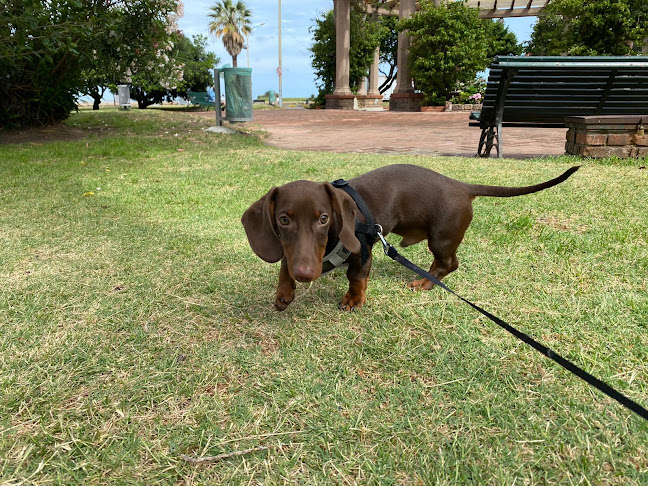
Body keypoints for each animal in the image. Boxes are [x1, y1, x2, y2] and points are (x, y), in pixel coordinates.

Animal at [242, 164, 576, 312]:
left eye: (324, 218)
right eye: (283, 220)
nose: (306, 274)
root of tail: (462, 186)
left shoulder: (362, 250)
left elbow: (356, 277)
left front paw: (353, 299)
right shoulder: (292, 251)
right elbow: (284, 262)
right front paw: (284, 292)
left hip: (441, 238)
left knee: (448, 264)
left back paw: (424, 283)